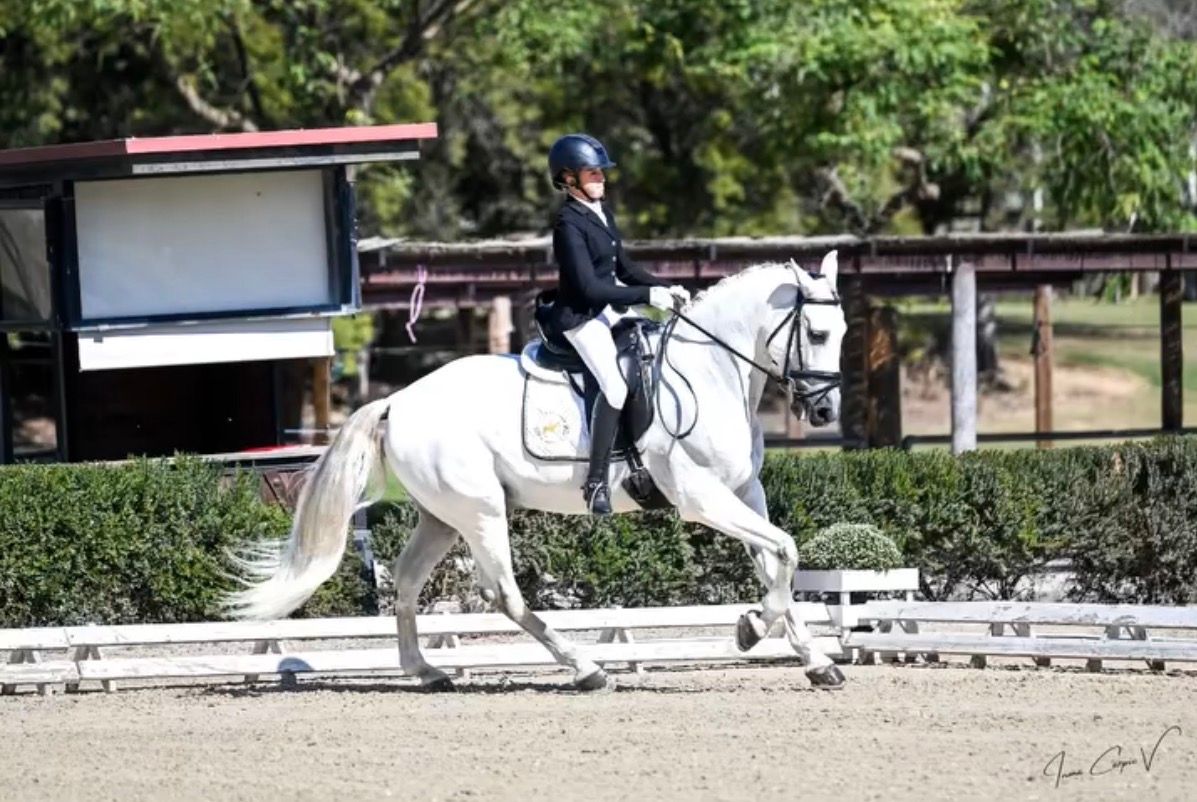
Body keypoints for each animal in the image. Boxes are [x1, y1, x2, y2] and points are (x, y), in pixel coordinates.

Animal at [225, 251, 849, 691]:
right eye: (816, 334)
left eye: (840, 333)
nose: (824, 412)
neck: (712, 372)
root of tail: (398, 400)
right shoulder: (701, 497)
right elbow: (786, 550)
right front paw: (749, 630)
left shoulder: (744, 490)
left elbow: (775, 562)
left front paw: (816, 661)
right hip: (481, 511)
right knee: (504, 593)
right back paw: (587, 668)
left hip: (442, 516)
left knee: (405, 582)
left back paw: (426, 672)